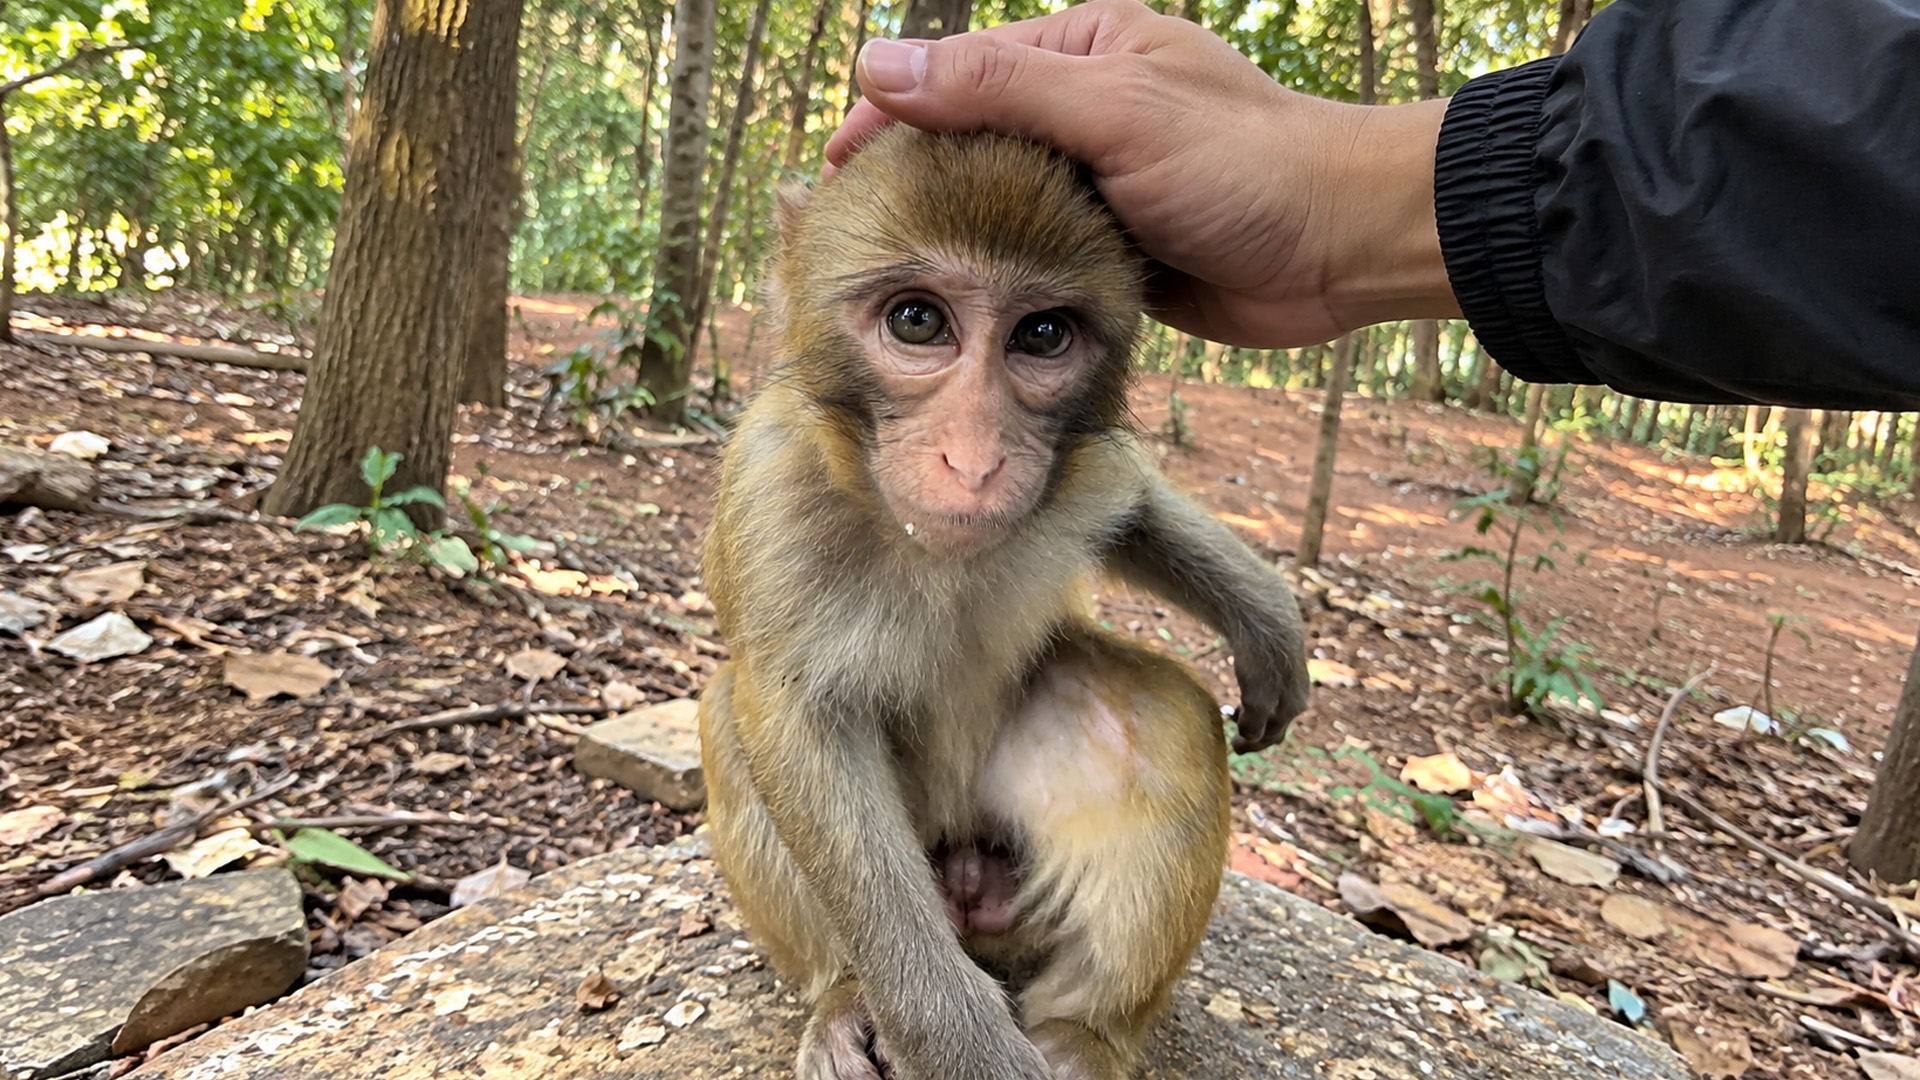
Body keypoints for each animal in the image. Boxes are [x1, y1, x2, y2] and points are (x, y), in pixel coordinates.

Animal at [696, 127, 1311, 1080]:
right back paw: (842, 996)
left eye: (1042, 334)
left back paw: (1086, 1033)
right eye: (917, 321)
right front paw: (957, 1043)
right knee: (729, 713)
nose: (978, 460)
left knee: (1170, 717)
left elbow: (1134, 508)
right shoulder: (770, 488)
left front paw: (1265, 617)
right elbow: (795, 722)